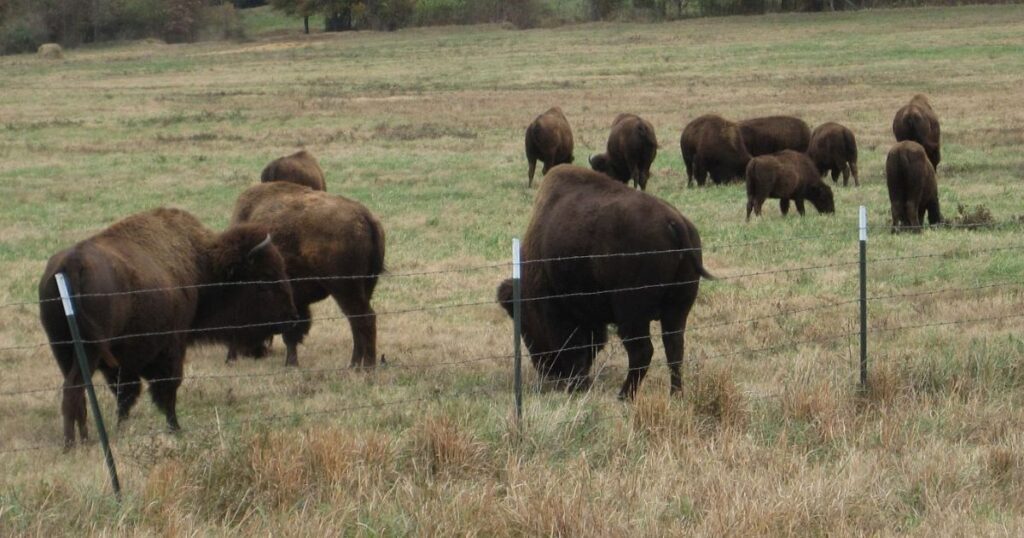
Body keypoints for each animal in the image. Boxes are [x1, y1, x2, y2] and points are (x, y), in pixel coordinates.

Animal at [39, 208, 296, 446]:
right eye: (264, 282)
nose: (292, 317)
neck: (199, 264)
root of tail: (72, 265)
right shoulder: (172, 347)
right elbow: (167, 388)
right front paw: (175, 428)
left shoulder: (124, 364)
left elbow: (126, 395)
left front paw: (122, 428)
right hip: (88, 351)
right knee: (74, 389)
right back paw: (71, 444)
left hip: (62, 349)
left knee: (78, 391)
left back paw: (83, 438)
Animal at [230, 182, 385, 366]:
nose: (251, 353)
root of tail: (365, 217)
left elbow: (291, 333)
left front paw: (290, 364)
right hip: (365, 286)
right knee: (356, 323)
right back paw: (354, 365)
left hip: (345, 289)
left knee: (364, 319)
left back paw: (367, 366)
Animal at [495, 163, 712, 397]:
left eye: (525, 324)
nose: (546, 371)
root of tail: (674, 222)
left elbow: (576, 346)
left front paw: (578, 386)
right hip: (677, 310)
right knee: (674, 348)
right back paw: (674, 394)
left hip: (632, 315)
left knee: (642, 351)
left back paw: (624, 396)